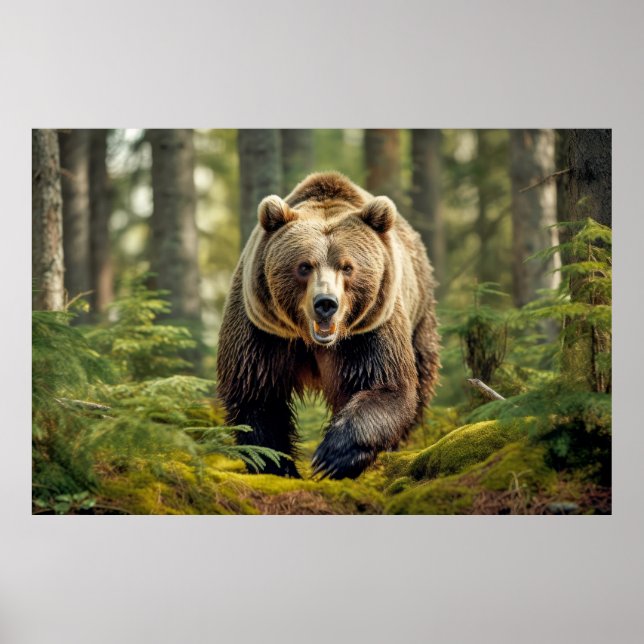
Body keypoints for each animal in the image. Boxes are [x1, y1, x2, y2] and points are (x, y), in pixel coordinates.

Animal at [217, 172, 439, 479]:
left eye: (347, 267)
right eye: (304, 266)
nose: (326, 303)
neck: (311, 341)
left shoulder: (370, 331)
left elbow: (386, 385)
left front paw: (333, 457)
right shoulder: (263, 329)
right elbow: (256, 392)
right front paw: (278, 465)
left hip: (419, 314)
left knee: (422, 373)